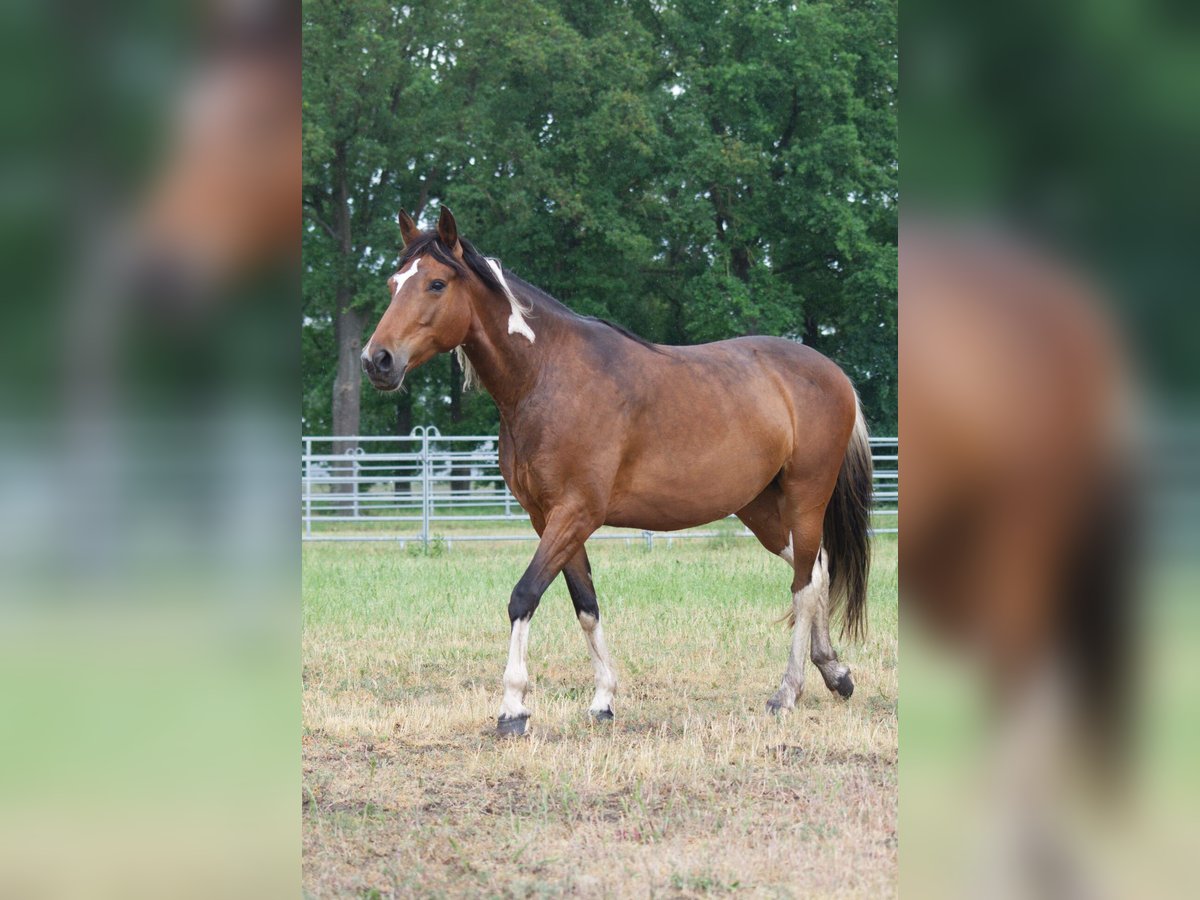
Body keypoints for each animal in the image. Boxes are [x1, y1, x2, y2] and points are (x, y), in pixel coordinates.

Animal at [357, 207, 873, 734]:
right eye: (393, 282)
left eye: (437, 284)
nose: (377, 360)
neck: (547, 376)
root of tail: (834, 373)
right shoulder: (549, 518)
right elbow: (586, 605)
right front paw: (603, 698)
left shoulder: (575, 513)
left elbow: (524, 596)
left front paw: (513, 707)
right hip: (760, 507)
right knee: (818, 569)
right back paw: (835, 671)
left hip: (805, 497)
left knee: (804, 586)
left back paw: (787, 693)